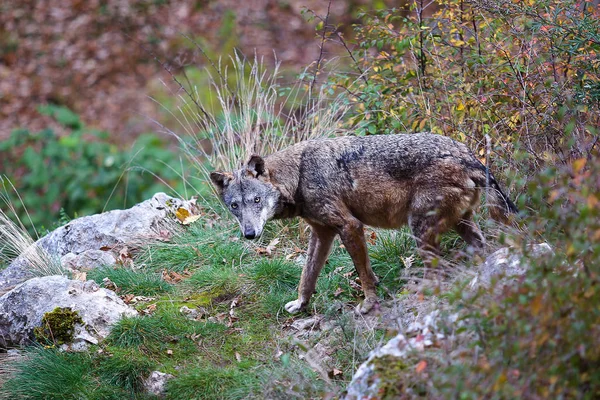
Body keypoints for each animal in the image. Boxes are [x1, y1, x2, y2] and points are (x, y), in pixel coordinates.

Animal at [210, 133, 516, 314]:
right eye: (235, 206)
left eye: (257, 200)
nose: (250, 234)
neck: (298, 175)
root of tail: (468, 155)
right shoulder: (322, 234)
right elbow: (307, 276)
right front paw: (301, 303)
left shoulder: (350, 227)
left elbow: (364, 275)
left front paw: (369, 305)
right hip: (460, 226)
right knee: (482, 250)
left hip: (420, 230)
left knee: (439, 270)